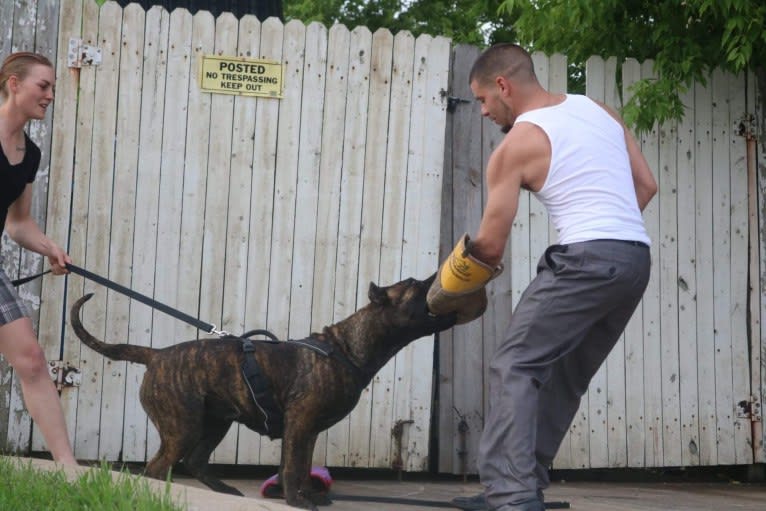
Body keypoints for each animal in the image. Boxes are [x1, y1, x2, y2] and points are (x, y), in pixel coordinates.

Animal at [70, 274, 456, 510]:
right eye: (414, 284)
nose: (435, 276)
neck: (345, 348)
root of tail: (156, 355)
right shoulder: (300, 425)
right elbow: (292, 467)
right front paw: (298, 501)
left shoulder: (307, 431)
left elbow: (297, 467)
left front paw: (303, 494)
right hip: (184, 427)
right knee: (157, 467)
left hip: (216, 423)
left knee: (195, 461)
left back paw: (225, 492)